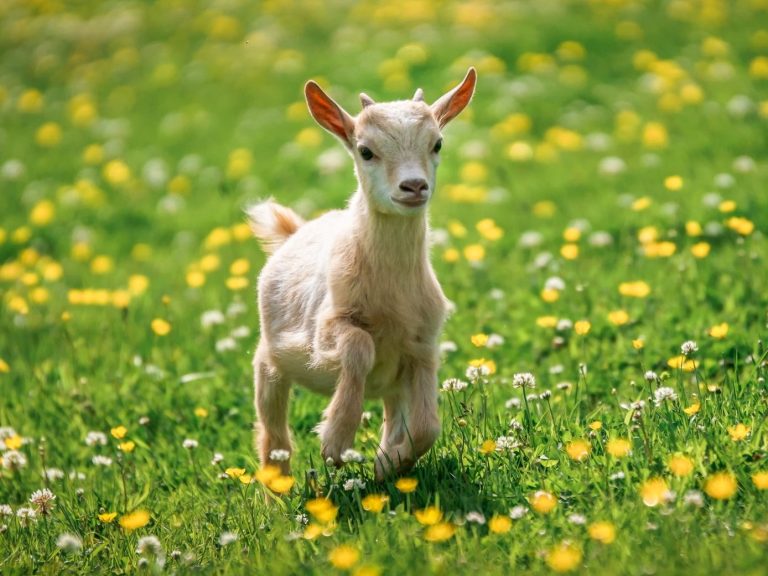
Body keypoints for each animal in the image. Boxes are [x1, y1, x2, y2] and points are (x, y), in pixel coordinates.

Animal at [248, 68, 477, 479]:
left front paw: (388, 464)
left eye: (437, 144)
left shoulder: (423, 345)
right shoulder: (326, 327)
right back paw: (278, 489)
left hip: (391, 382)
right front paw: (335, 443)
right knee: (274, 436)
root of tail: (293, 231)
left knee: (394, 411)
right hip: (270, 361)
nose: (414, 186)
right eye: (365, 151)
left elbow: (427, 427)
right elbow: (358, 346)